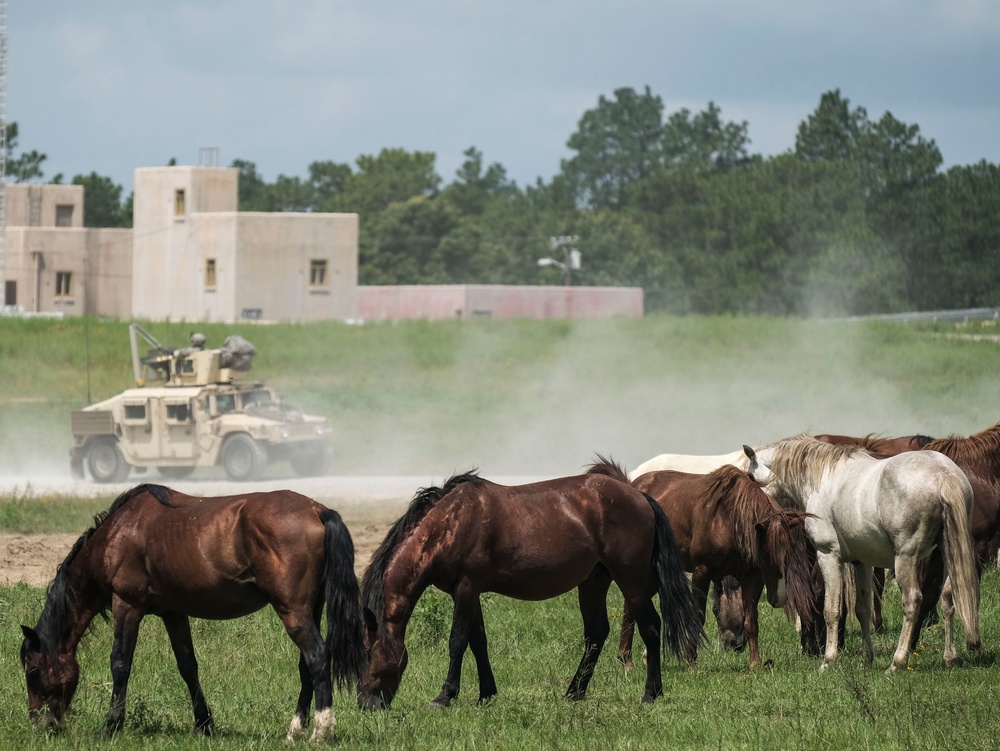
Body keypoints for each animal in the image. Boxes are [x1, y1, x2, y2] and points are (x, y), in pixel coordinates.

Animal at [19, 484, 366, 744]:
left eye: (33, 672)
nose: (40, 725)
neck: (117, 534)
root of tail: (317, 511)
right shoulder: (173, 613)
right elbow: (188, 666)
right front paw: (204, 724)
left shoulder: (127, 606)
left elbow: (120, 664)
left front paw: (110, 727)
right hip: (309, 610)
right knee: (307, 665)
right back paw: (295, 731)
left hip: (292, 611)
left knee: (318, 657)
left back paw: (321, 731)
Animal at [358, 458, 704, 712]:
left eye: (368, 653)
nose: (366, 704)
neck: (449, 523)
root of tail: (640, 497)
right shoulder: (470, 592)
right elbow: (478, 641)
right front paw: (486, 694)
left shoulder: (466, 588)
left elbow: (457, 641)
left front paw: (444, 697)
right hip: (593, 582)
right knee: (596, 633)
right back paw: (574, 692)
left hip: (630, 579)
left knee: (651, 626)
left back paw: (650, 693)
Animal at [616, 464, 812, 668]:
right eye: (766, 555)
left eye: (790, 552)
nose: (780, 599)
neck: (728, 520)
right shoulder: (702, 572)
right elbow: (698, 616)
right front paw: (690, 660)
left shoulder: (752, 577)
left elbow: (751, 620)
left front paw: (755, 663)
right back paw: (628, 659)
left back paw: (631, 658)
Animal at [748, 434, 980, 676]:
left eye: (750, 476)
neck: (820, 479)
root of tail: (943, 474)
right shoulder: (862, 563)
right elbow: (863, 609)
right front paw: (866, 659)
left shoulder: (828, 556)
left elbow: (831, 609)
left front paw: (828, 661)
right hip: (947, 553)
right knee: (948, 597)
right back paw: (949, 657)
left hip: (905, 559)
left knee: (913, 601)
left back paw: (897, 662)